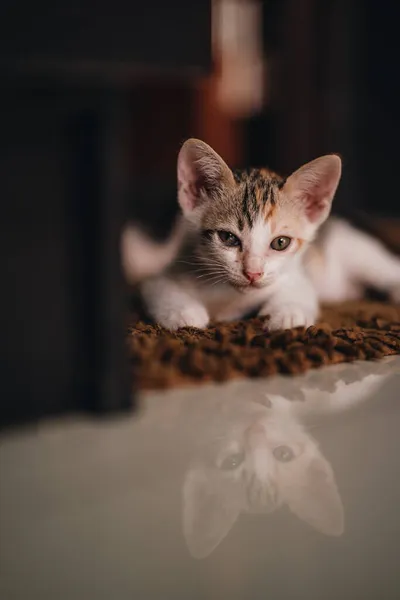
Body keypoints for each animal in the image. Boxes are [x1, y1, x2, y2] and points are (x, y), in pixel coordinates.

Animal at [123, 139, 400, 330]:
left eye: (280, 242)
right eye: (228, 238)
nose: (253, 273)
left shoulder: (296, 275)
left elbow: (297, 291)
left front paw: (287, 314)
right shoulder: (160, 275)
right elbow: (159, 288)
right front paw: (184, 313)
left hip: (353, 248)